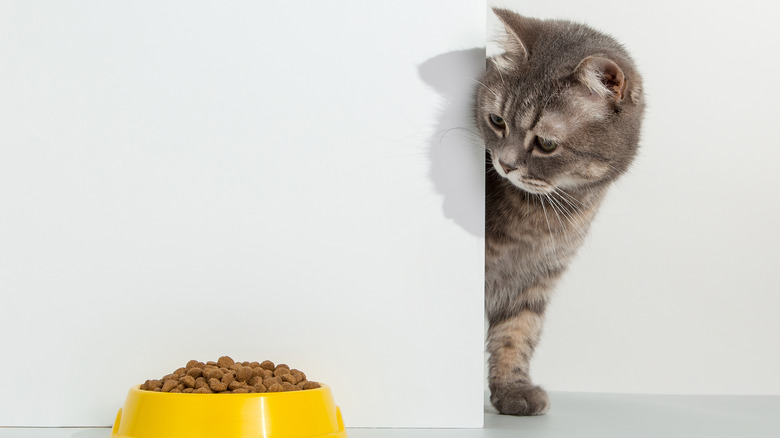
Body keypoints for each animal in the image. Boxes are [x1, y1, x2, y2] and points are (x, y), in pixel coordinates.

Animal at [476, 8, 644, 416]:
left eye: (546, 144)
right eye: (497, 121)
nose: (504, 165)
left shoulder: (535, 279)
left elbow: (517, 333)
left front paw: (513, 388)